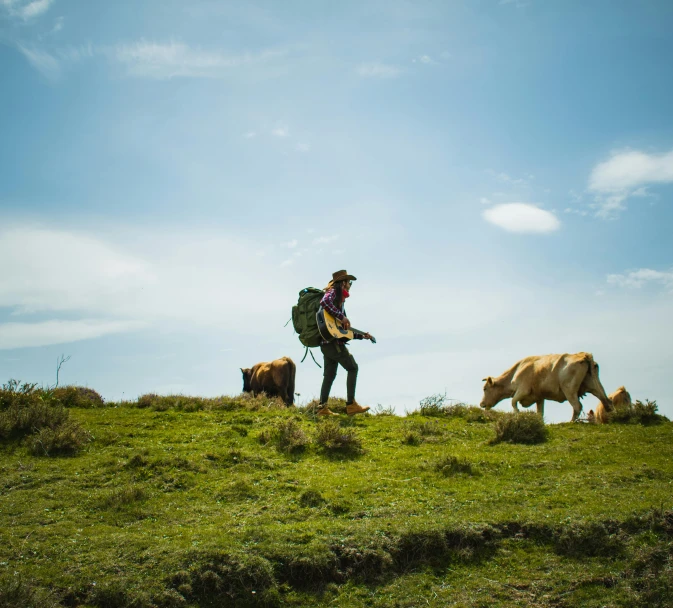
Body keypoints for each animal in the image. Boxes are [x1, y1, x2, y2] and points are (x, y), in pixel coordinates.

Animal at [478, 352, 616, 422]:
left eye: (485, 389)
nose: (481, 404)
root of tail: (583, 355)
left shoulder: (523, 390)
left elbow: (513, 402)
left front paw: (518, 414)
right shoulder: (539, 397)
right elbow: (540, 412)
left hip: (569, 389)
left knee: (577, 406)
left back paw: (571, 422)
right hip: (595, 386)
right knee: (607, 402)